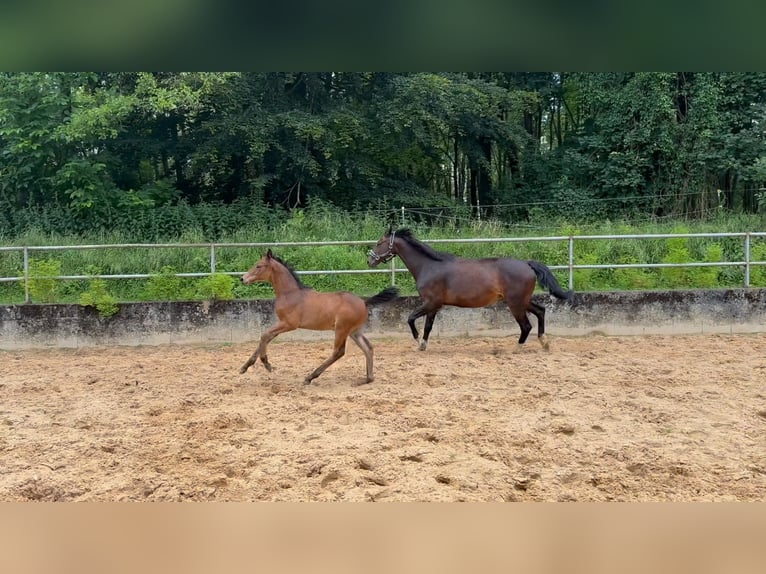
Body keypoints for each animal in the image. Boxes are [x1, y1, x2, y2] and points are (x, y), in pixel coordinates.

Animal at [242, 250, 400, 384]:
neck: (290, 293)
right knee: (368, 348)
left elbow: (264, 335)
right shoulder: (281, 323)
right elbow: (266, 338)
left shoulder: (289, 324)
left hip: (341, 329)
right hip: (354, 332)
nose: (242, 278)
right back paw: (368, 378)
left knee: (338, 352)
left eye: (258, 266)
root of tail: (364, 302)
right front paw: (245, 366)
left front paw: (266, 364)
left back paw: (310, 377)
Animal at [368, 228, 572, 352]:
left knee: (526, 325)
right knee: (541, 311)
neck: (429, 266)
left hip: (515, 303)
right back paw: (544, 342)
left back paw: (517, 348)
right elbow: (428, 326)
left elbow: (410, 318)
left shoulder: (430, 302)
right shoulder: (434, 306)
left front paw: (418, 342)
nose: (369, 260)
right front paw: (423, 345)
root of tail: (527, 264)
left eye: (379, 242)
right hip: (522, 301)